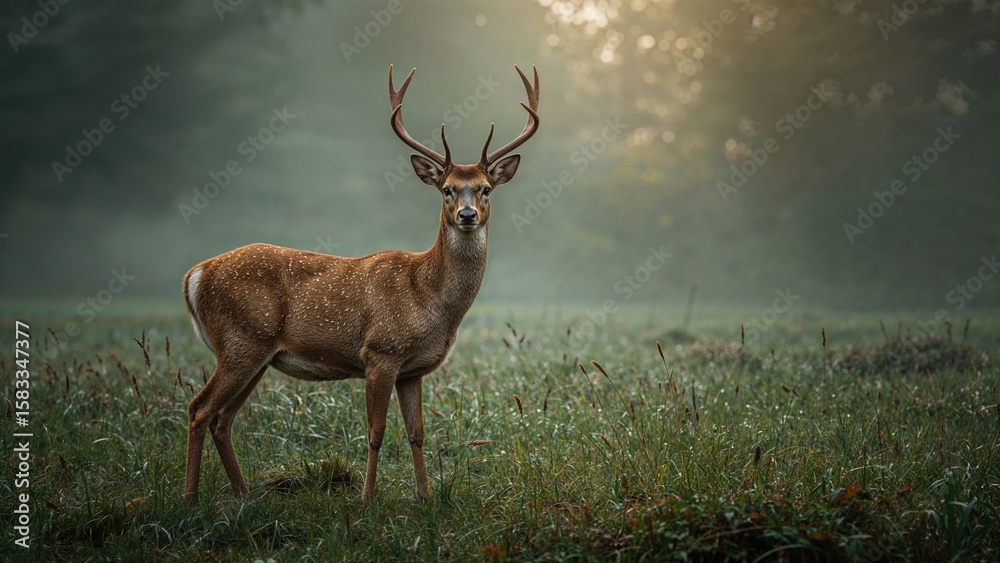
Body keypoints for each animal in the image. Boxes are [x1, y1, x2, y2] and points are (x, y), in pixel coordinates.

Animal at [181, 64, 539, 504]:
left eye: (486, 189)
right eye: (447, 190)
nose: (467, 214)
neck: (427, 297)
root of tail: (196, 274)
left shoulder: (412, 370)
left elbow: (417, 433)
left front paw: (425, 497)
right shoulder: (379, 351)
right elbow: (376, 432)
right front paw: (367, 498)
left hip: (256, 353)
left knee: (222, 418)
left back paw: (245, 496)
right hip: (241, 340)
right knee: (199, 409)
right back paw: (191, 499)